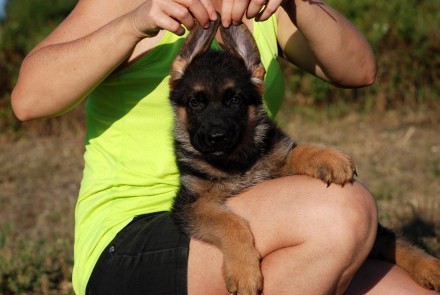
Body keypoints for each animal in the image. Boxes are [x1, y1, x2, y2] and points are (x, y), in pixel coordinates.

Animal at [168, 16, 440, 295]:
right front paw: (244, 271)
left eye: (235, 100)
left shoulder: (275, 162)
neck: (237, 163)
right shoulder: (191, 206)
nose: (217, 137)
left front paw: (329, 158)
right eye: (195, 103)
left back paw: (430, 267)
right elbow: (231, 222)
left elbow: (298, 151)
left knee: (392, 240)